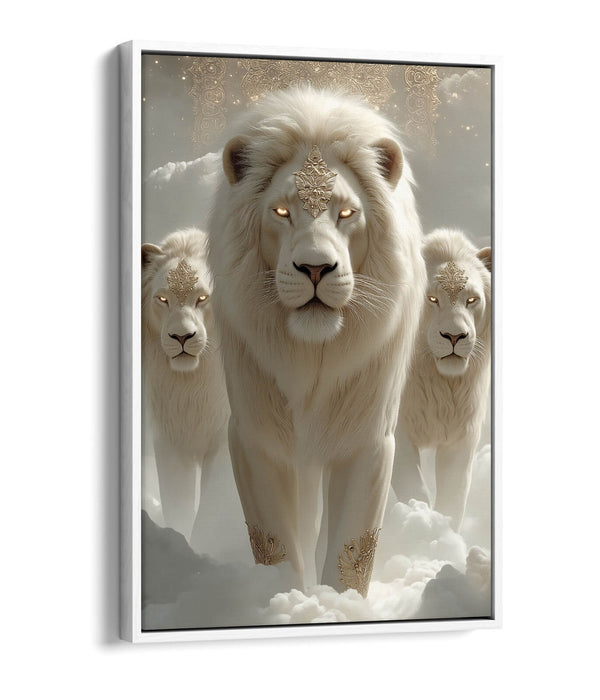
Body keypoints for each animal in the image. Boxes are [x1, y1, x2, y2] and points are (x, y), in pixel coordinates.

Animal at [142, 228, 229, 542]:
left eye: (202, 298)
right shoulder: (171, 439)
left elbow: (212, 505)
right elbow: (177, 503)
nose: (181, 337)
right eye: (163, 299)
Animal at [208, 87, 426, 596]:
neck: (311, 356)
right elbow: (274, 541)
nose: (314, 267)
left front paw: (337, 604)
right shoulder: (254, 436)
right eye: (282, 212)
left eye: (346, 213)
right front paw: (282, 598)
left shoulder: (368, 438)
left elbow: (352, 546)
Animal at [391, 228, 492, 530]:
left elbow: (454, 496)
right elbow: (412, 486)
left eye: (471, 300)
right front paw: (420, 519)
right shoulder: (397, 431)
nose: (454, 336)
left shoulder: (462, 436)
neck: (441, 384)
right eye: (432, 299)